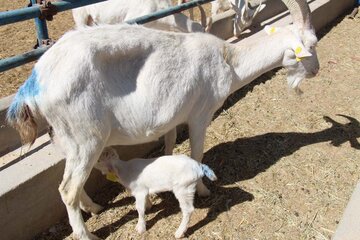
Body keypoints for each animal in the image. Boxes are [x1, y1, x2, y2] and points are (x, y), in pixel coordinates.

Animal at [7, 0, 318, 238]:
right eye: (311, 45)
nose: (315, 70)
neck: (228, 61)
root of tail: (36, 80)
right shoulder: (200, 114)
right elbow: (196, 152)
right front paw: (203, 190)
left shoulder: (173, 117)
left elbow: (169, 144)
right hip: (86, 137)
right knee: (67, 189)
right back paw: (87, 233)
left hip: (64, 137)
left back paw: (94, 208)